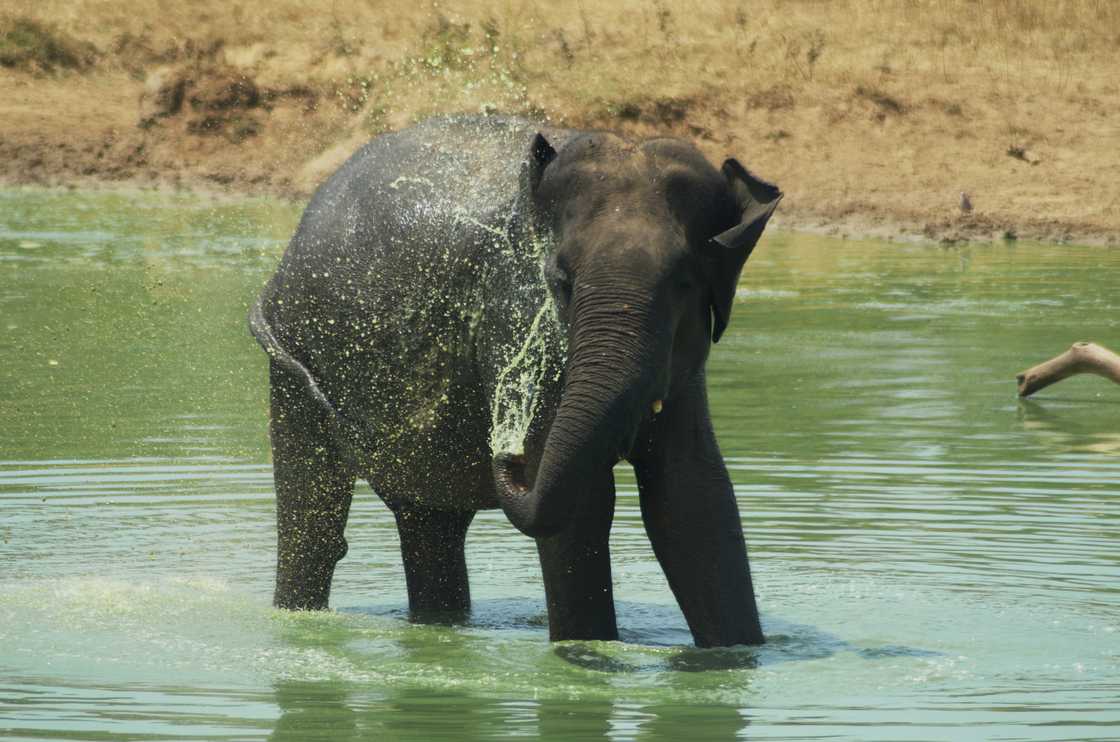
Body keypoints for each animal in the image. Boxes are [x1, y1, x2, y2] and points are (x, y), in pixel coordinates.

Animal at [249, 115, 781, 647]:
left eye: (685, 284)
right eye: (561, 282)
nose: (506, 451)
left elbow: (692, 497)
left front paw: (735, 658)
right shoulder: (516, 315)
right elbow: (584, 508)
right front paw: (585, 651)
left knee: (430, 526)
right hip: (295, 353)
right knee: (313, 523)